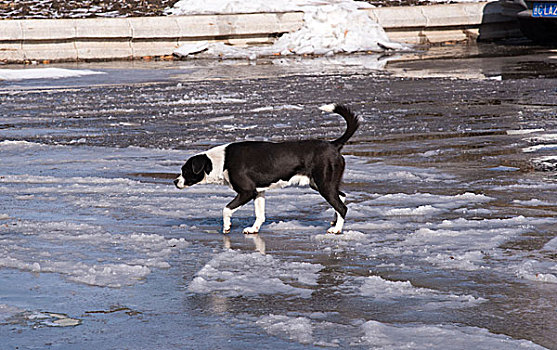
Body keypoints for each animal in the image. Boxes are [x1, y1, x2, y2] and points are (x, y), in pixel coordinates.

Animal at [174, 104, 358, 235]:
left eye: (185, 170)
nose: (175, 181)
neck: (221, 161)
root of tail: (333, 144)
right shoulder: (258, 192)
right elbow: (260, 214)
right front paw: (253, 229)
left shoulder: (247, 191)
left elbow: (226, 209)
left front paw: (226, 227)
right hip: (321, 184)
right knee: (341, 198)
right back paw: (334, 222)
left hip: (324, 184)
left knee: (342, 207)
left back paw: (337, 229)